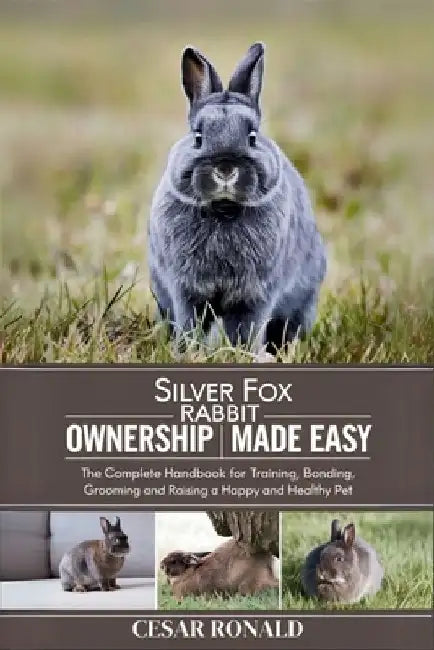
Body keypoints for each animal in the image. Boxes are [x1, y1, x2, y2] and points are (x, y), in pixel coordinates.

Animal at [148, 42, 326, 354]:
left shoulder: (254, 295)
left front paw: (239, 353)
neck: (224, 210)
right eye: (198, 137)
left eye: (252, 137)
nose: (225, 168)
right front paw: (188, 351)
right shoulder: (186, 292)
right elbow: (190, 322)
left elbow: (245, 327)